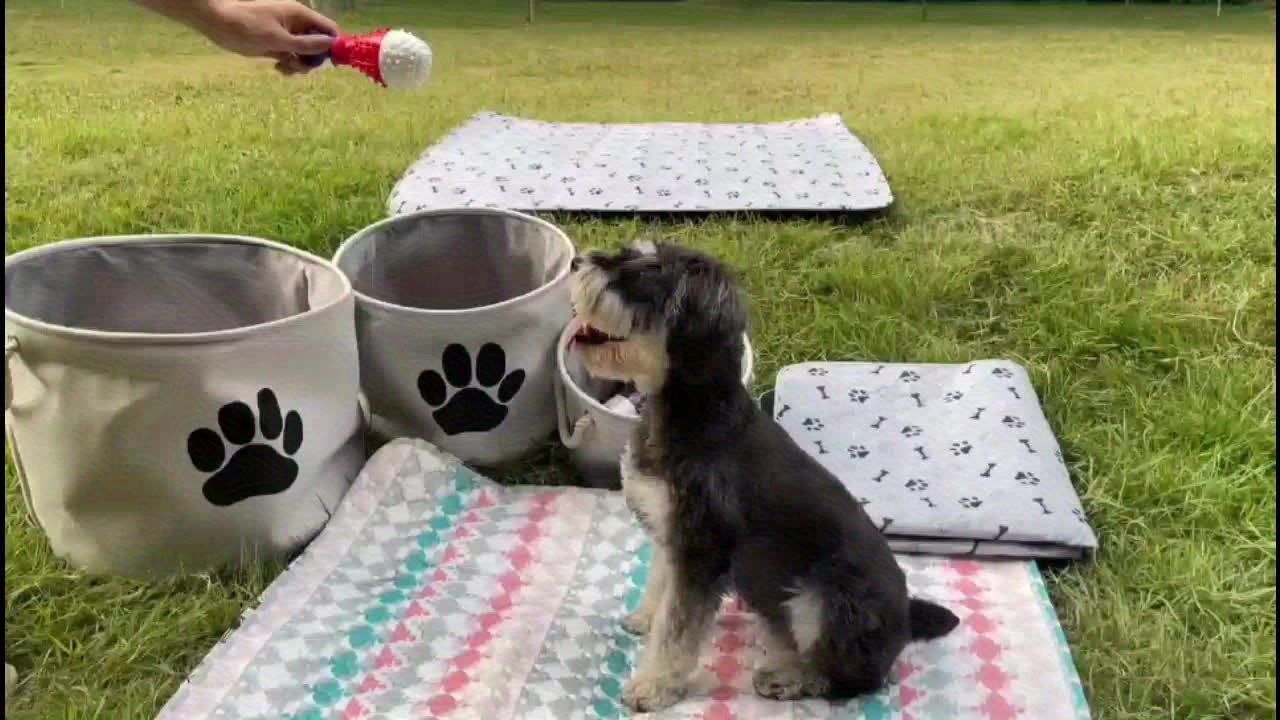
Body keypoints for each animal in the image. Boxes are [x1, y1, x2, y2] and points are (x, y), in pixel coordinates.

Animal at [565, 240, 957, 712]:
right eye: (627, 254)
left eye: (643, 275)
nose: (575, 263)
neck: (693, 413)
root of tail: (905, 620)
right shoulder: (673, 535)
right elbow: (662, 586)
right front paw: (645, 617)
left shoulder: (702, 552)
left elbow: (679, 630)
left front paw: (653, 685)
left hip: (822, 600)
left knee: (853, 679)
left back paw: (788, 678)